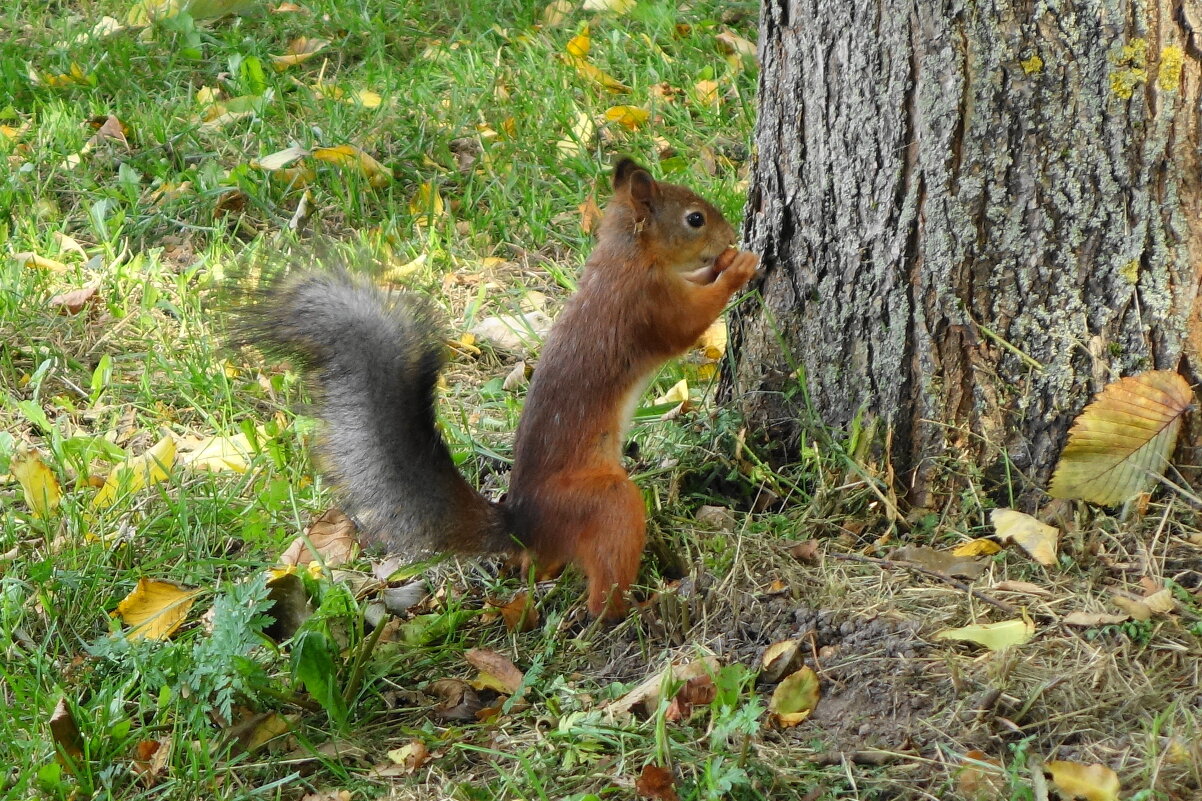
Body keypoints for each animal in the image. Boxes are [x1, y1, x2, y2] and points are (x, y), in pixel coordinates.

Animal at [239, 157, 754, 615]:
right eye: (694, 219)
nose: (731, 236)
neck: (624, 256)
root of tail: (523, 524)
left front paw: (723, 263)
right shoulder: (648, 304)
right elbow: (688, 321)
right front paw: (739, 265)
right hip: (606, 503)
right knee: (601, 596)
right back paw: (641, 606)